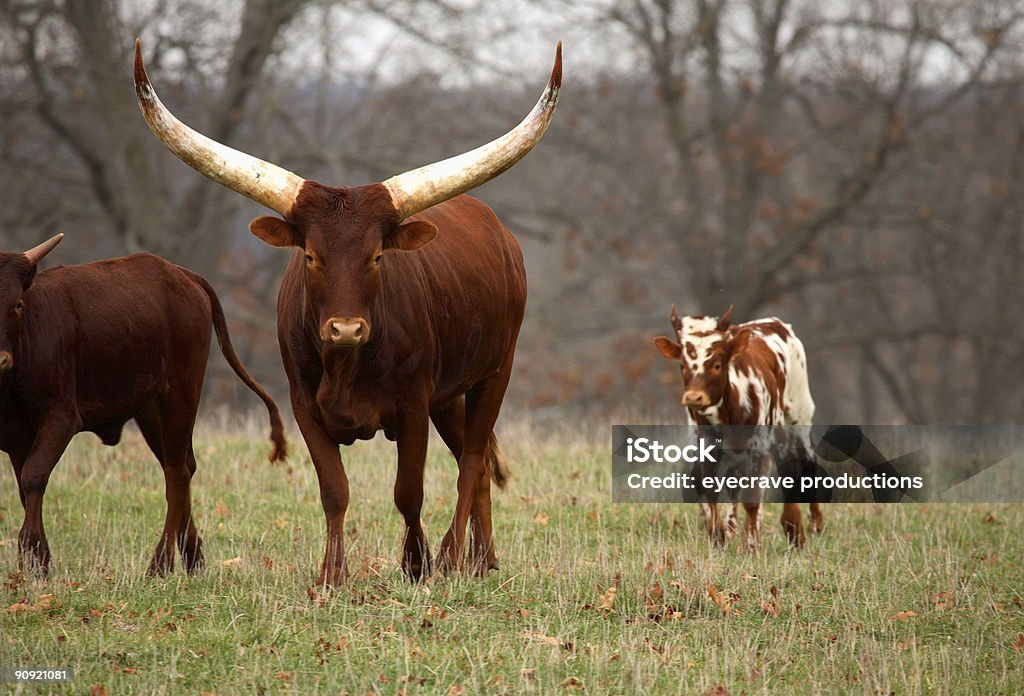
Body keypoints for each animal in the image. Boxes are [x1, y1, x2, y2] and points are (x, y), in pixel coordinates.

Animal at [1, 235, 284, 577]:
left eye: (17, 304)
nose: (1, 359)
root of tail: (181, 273)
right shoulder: (16, 438)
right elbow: (25, 484)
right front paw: (37, 560)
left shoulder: (60, 417)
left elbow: (33, 477)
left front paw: (32, 556)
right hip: (150, 410)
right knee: (183, 466)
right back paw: (193, 557)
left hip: (181, 394)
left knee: (177, 473)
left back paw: (161, 562)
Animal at [133, 39, 565, 585]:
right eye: (311, 256)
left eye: (377, 256)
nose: (345, 328)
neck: (347, 365)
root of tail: (500, 232)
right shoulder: (304, 405)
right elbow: (334, 490)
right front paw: (331, 575)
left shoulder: (412, 405)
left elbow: (409, 493)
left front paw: (417, 565)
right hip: (449, 396)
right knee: (481, 463)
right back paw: (483, 561)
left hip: (495, 371)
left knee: (471, 461)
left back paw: (453, 556)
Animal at [655, 305, 823, 548]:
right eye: (683, 365)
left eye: (717, 364)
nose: (694, 397)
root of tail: (773, 322)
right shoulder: (705, 449)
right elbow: (708, 492)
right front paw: (719, 537)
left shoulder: (759, 448)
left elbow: (751, 499)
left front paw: (750, 545)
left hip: (799, 414)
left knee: (806, 458)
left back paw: (812, 522)